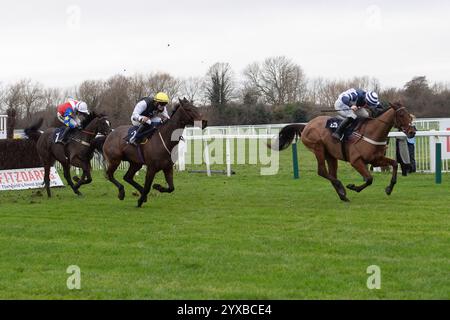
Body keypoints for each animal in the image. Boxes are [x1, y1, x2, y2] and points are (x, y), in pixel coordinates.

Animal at [270, 102, 414, 201]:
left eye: (409, 115)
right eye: (401, 115)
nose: (412, 131)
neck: (371, 133)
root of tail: (306, 125)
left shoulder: (376, 159)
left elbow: (394, 163)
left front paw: (389, 188)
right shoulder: (356, 160)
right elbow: (369, 179)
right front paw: (353, 187)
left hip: (330, 155)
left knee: (331, 173)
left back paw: (342, 194)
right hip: (318, 148)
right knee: (322, 171)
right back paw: (341, 188)